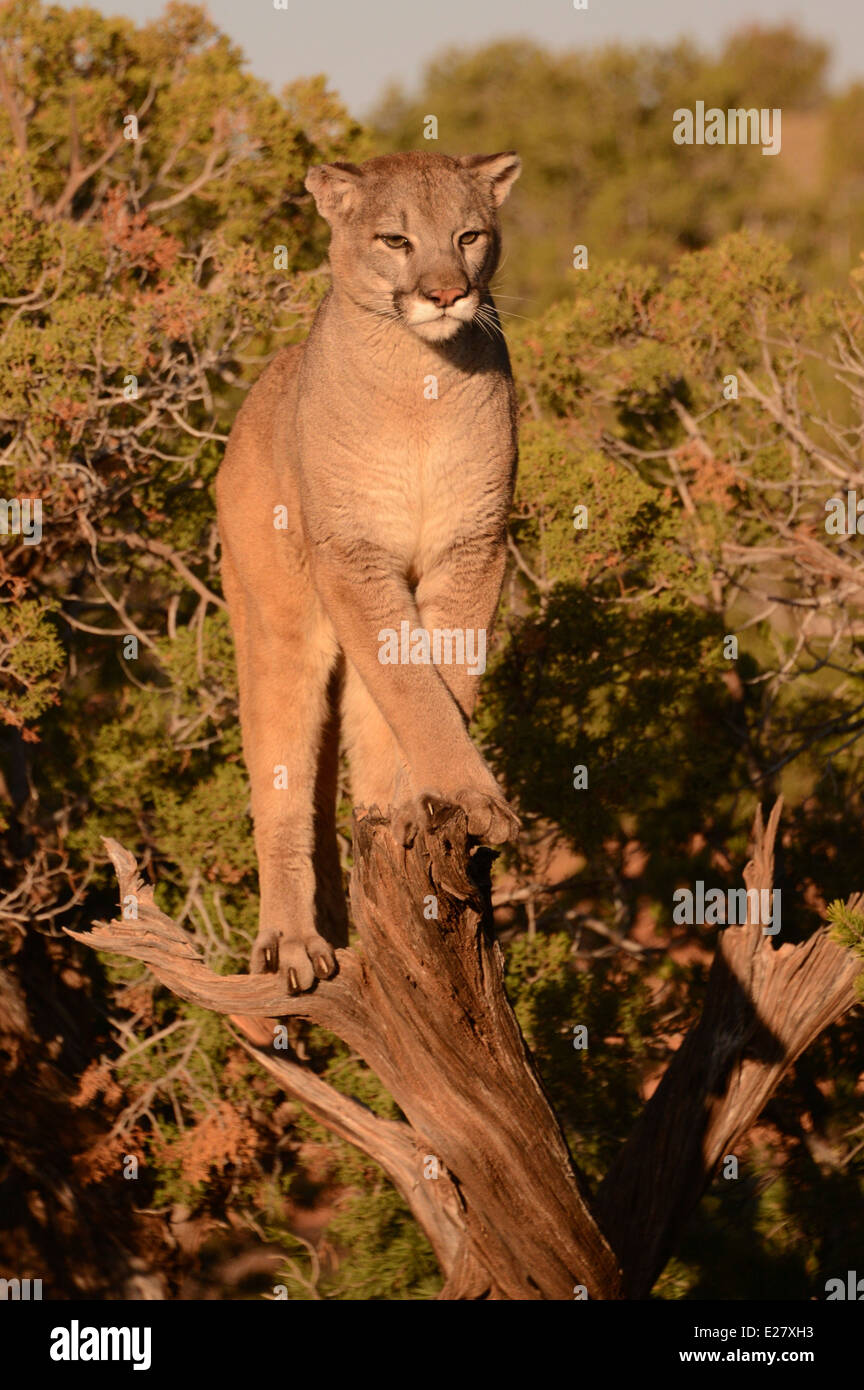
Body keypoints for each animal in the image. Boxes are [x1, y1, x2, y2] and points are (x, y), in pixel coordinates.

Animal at [219, 154, 525, 989]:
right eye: (395, 239)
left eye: (469, 235)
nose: (446, 292)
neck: (419, 385)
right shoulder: (354, 560)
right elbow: (417, 694)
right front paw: (469, 795)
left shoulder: (472, 548)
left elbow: (438, 685)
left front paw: (434, 804)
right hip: (277, 623)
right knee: (284, 783)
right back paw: (292, 943)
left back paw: (385, 820)